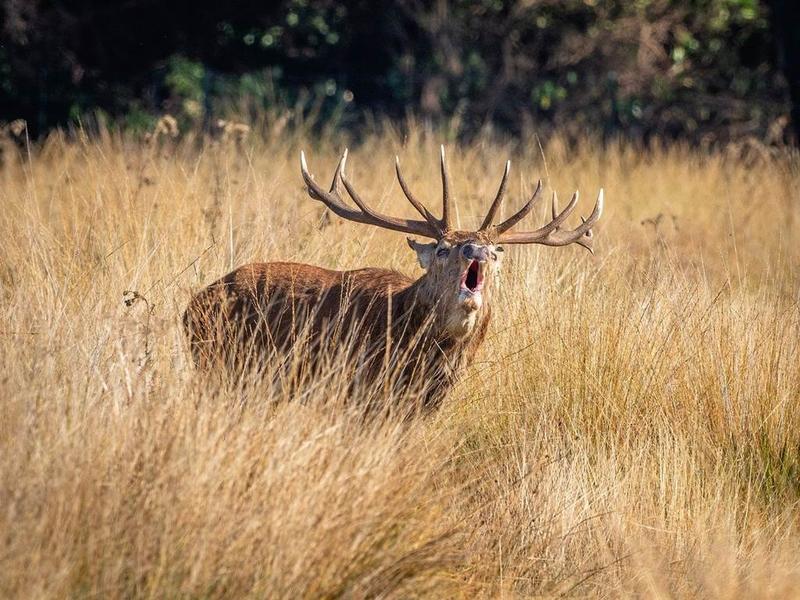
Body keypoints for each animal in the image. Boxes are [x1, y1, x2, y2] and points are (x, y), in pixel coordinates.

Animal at [183, 147, 603, 410]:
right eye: (443, 249)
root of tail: (189, 306)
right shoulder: (355, 389)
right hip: (217, 364)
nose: (476, 250)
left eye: (497, 253)